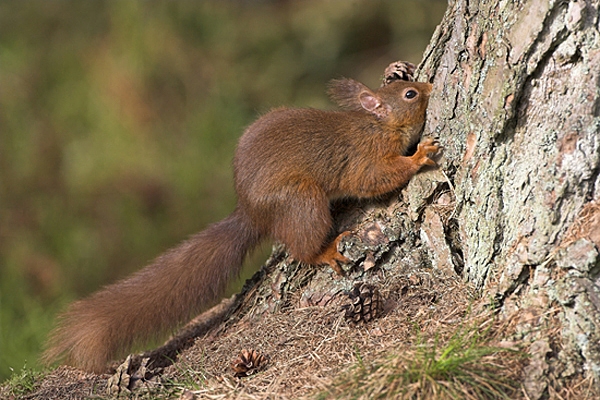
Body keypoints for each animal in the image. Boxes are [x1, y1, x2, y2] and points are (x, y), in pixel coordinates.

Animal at [42, 69, 436, 372]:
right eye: (410, 94)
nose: (431, 87)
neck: (377, 124)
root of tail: (250, 211)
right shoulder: (363, 159)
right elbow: (376, 178)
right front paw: (418, 156)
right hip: (301, 200)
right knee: (302, 245)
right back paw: (324, 251)